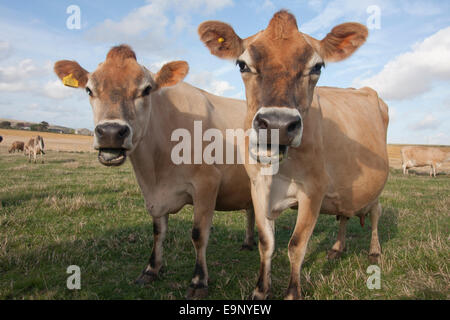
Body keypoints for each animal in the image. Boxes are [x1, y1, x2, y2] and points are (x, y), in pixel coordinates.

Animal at [53, 43, 256, 298]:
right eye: (89, 90)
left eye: (146, 89)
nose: (111, 132)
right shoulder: (152, 194)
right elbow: (158, 231)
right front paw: (151, 270)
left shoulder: (207, 183)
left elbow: (199, 234)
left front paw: (198, 281)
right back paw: (249, 243)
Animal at [199, 10, 388, 300]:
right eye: (242, 65)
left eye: (317, 67)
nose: (277, 124)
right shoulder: (257, 187)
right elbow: (266, 242)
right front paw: (260, 290)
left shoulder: (314, 189)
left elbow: (297, 245)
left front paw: (292, 292)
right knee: (344, 214)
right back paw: (337, 248)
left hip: (376, 184)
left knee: (376, 212)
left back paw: (375, 251)